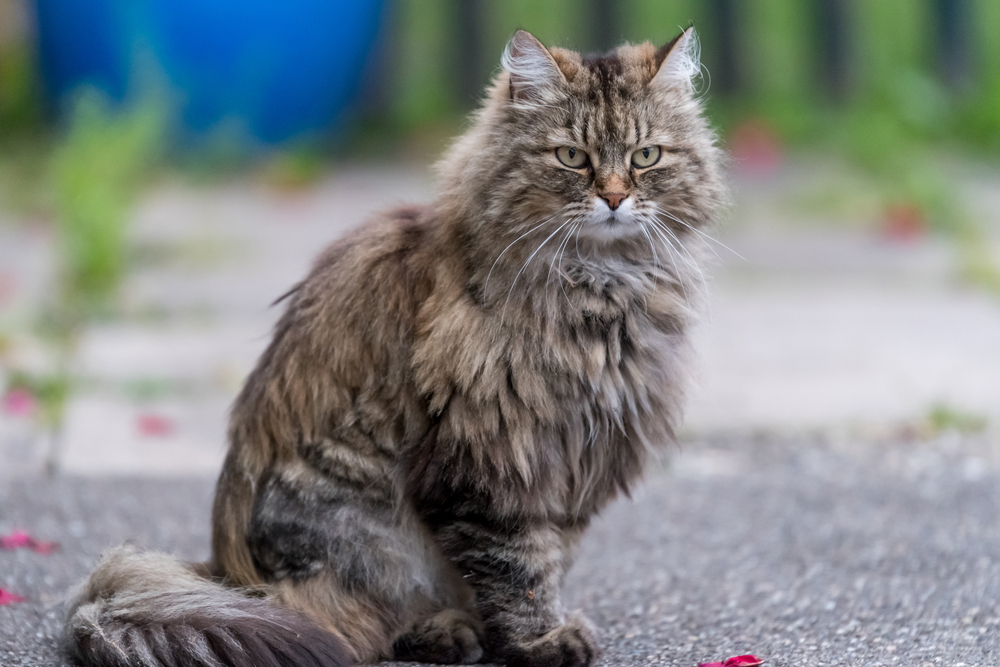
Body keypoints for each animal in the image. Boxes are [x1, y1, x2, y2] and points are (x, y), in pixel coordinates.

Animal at [64, 28, 728, 667]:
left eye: (645, 157)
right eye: (572, 157)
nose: (614, 198)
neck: (603, 288)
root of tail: (228, 579)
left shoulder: (579, 462)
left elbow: (551, 558)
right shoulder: (492, 463)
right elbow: (520, 570)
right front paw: (541, 642)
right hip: (362, 524)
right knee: (350, 628)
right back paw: (446, 634)